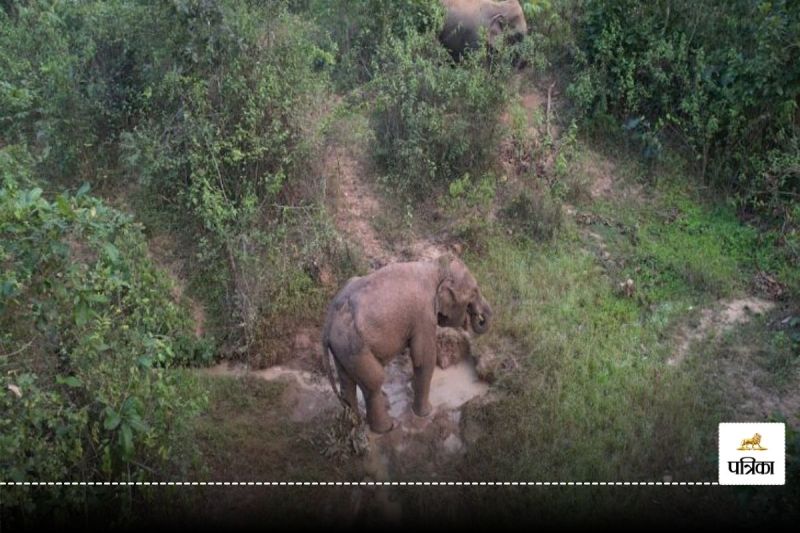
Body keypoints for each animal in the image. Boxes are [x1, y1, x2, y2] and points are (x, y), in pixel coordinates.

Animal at [321, 254, 492, 433]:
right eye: (474, 292)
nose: (479, 318)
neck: (436, 266)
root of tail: (328, 323)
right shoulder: (424, 315)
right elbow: (424, 359)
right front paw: (426, 413)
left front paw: (413, 388)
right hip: (354, 346)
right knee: (374, 382)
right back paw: (386, 428)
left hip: (342, 349)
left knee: (347, 383)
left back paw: (356, 425)